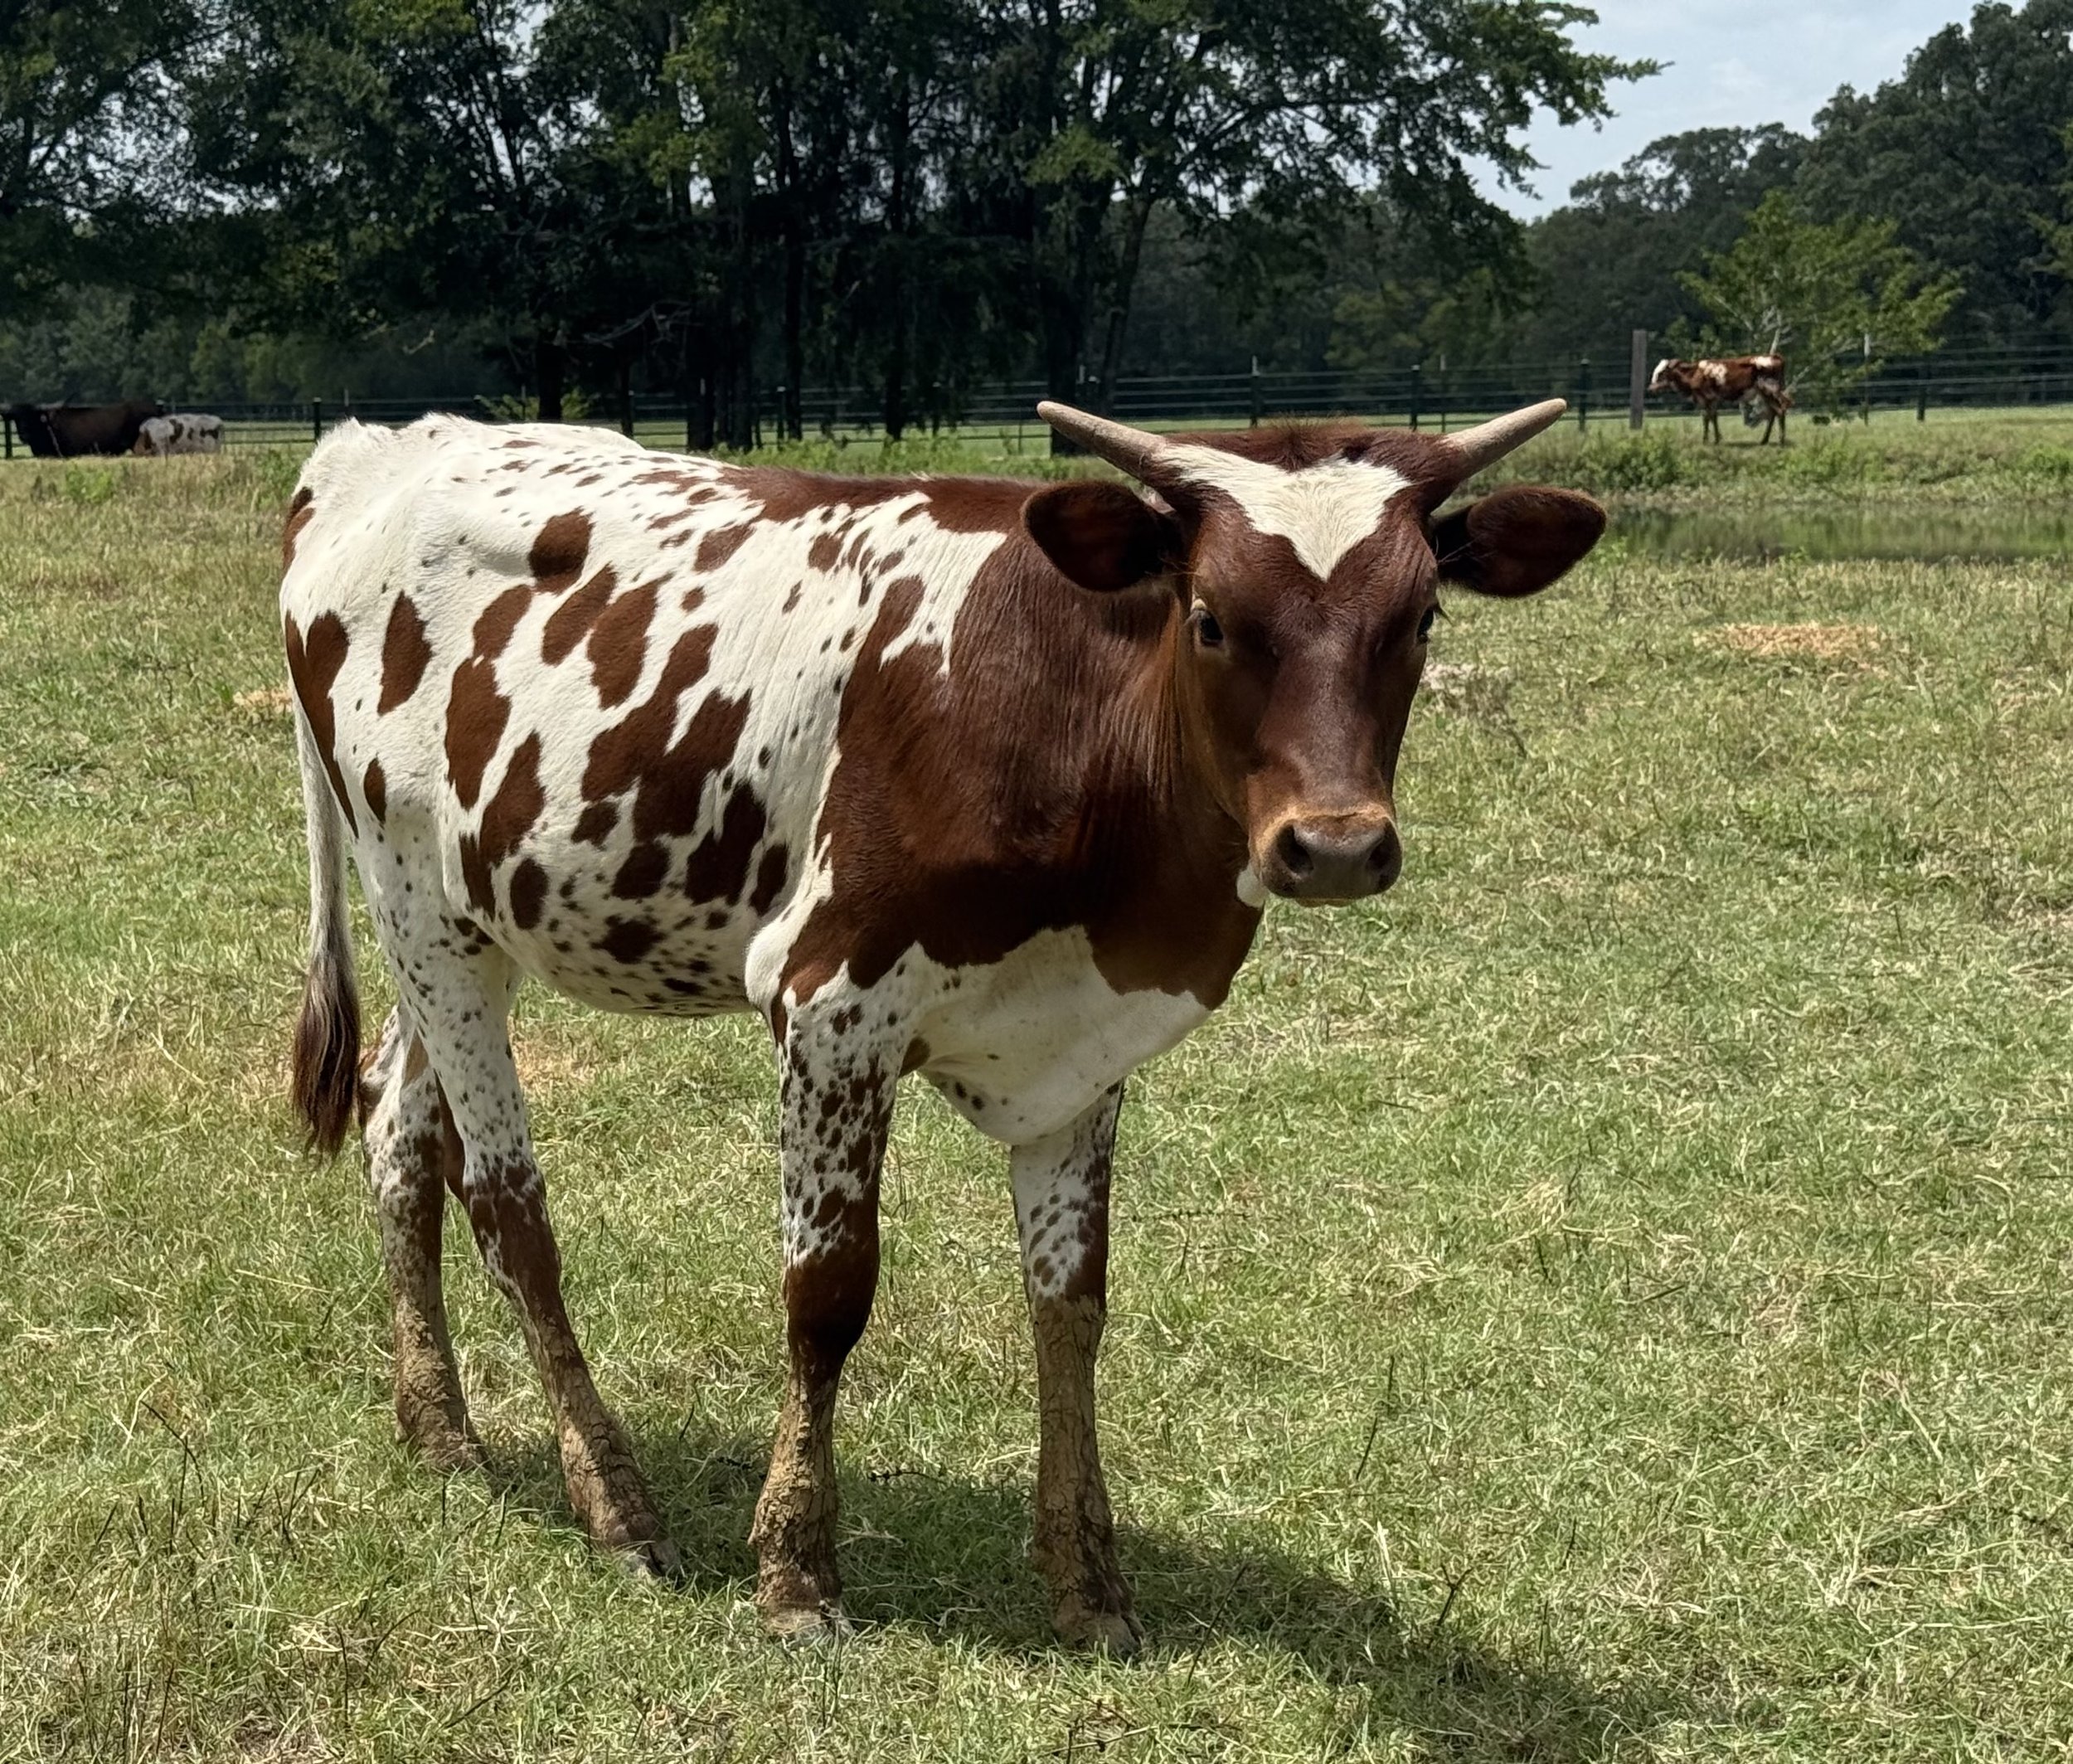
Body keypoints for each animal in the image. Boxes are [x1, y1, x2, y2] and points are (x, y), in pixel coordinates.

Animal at [283, 400, 1604, 1652]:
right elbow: (827, 1293)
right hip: (417, 905)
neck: (1069, 718)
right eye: (1212, 618)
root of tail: (373, 449)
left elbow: (1071, 1305)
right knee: (508, 1206)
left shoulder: (1083, 1050)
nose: (1332, 846)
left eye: (1420, 619)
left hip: (474, 925)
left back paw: (439, 1423)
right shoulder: (832, 1009)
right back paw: (612, 1497)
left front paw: (1087, 1583)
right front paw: (796, 1575)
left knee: (400, 1128)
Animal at [1648, 355, 1790, 443]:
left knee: (1780, 411)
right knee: (1773, 413)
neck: (1693, 374)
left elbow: (1706, 418)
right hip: (1765, 394)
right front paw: (1717, 438)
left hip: (1769, 390)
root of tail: (1774, 357)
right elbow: (1713, 417)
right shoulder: (1713, 399)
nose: (1650, 388)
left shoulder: (1703, 398)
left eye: (1661, 373)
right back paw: (1765, 440)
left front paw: (1706, 440)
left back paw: (1781, 441)